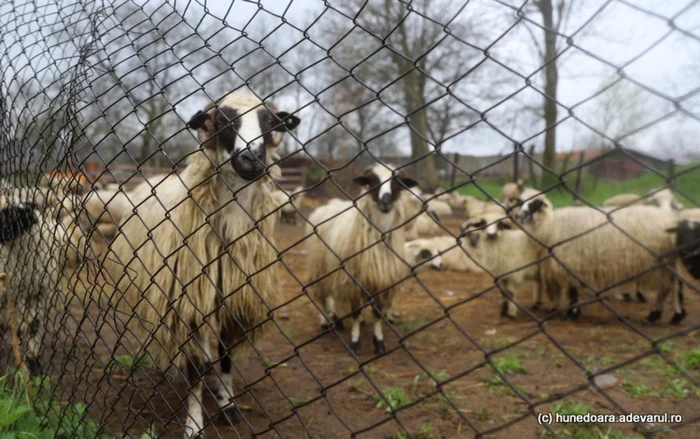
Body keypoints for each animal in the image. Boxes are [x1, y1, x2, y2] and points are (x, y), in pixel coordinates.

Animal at [105, 89, 300, 436]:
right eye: (222, 122)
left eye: (271, 122)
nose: (251, 159)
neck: (228, 226)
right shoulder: (187, 300)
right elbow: (194, 366)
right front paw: (194, 424)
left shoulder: (232, 298)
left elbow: (225, 356)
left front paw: (228, 404)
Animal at [304, 163, 416, 356]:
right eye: (372, 181)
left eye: (397, 182)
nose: (385, 203)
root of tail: (330, 204)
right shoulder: (353, 280)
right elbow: (355, 312)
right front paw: (355, 342)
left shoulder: (381, 281)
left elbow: (377, 314)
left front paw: (379, 342)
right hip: (319, 265)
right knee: (322, 296)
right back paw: (325, 322)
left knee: (334, 295)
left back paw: (338, 320)